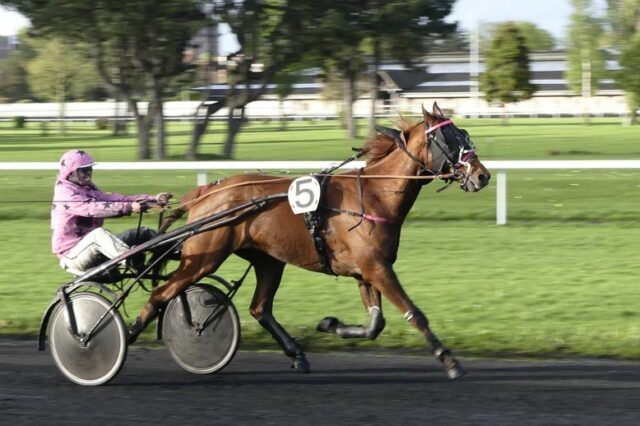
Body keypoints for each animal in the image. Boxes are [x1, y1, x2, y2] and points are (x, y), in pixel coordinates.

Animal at [129, 103, 491, 379]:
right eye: (450, 138)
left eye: (464, 134)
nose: (482, 175)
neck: (375, 194)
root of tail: (207, 192)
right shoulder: (377, 268)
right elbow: (414, 314)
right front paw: (450, 361)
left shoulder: (366, 271)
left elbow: (375, 324)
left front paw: (332, 325)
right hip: (204, 257)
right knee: (161, 294)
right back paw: (126, 335)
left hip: (268, 259)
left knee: (260, 308)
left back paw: (297, 354)